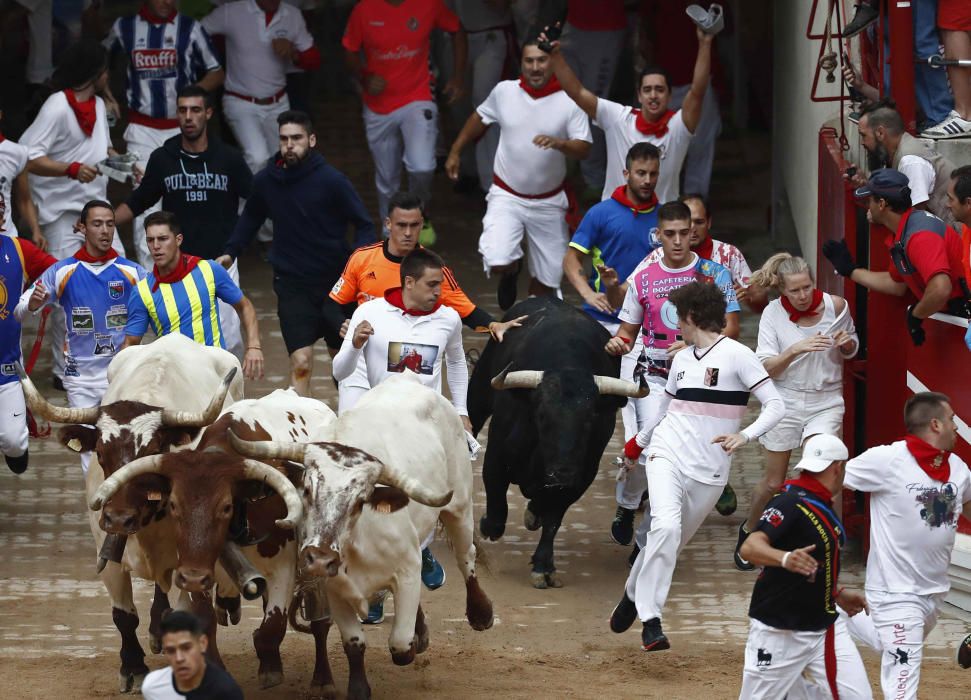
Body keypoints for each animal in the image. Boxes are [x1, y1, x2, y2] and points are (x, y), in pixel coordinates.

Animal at [468, 296, 636, 592]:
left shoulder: (580, 477)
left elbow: (553, 520)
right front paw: (487, 525)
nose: (561, 472)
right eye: (541, 414)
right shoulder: (497, 458)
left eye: (591, 418)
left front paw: (543, 566)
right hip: (479, 393)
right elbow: (497, 513)